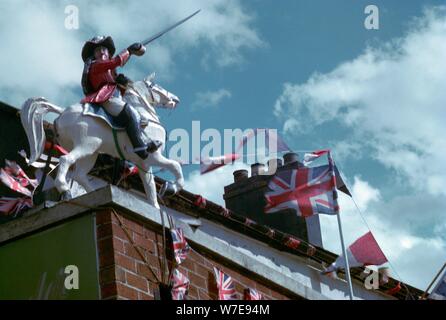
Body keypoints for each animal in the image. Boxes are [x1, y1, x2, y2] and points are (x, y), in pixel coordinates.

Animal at [20, 73, 184, 209]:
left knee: (79, 175)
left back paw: (94, 193)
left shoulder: (143, 163)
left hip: (90, 154)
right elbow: (175, 166)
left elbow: (150, 190)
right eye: (156, 86)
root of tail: (62, 111)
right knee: (65, 160)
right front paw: (170, 188)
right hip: (86, 146)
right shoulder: (153, 156)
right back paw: (66, 191)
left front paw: (156, 207)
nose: (176, 99)